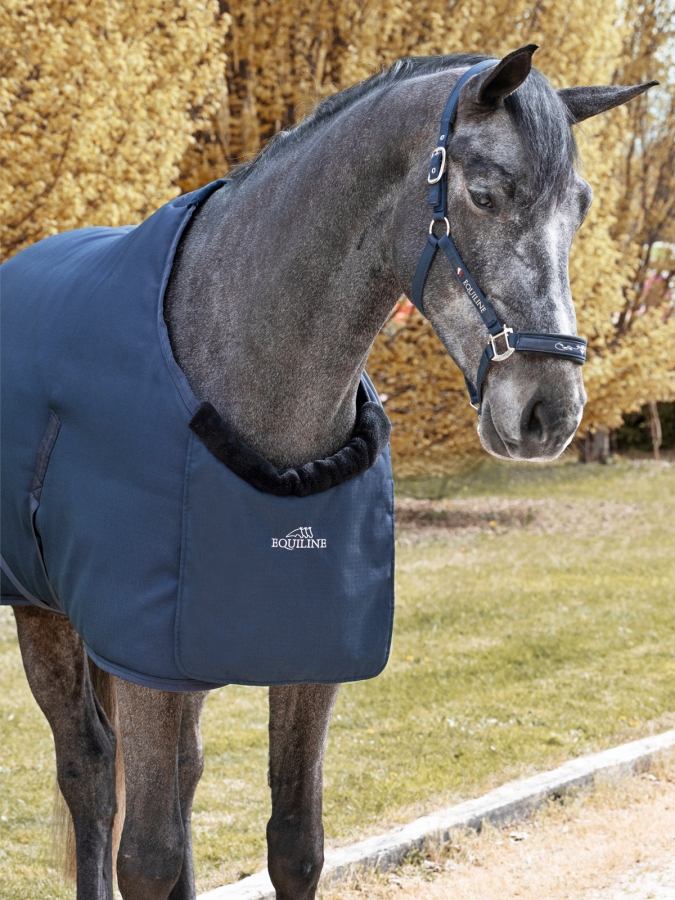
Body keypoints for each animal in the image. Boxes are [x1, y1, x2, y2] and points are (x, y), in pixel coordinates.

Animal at [4, 44, 654, 899]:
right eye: (483, 195)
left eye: (579, 209)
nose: (549, 409)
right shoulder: (142, 660)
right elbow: (145, 854)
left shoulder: (304, 663)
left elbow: (295, 841)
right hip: (44, 617)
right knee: (88, 773)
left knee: (181, 777)